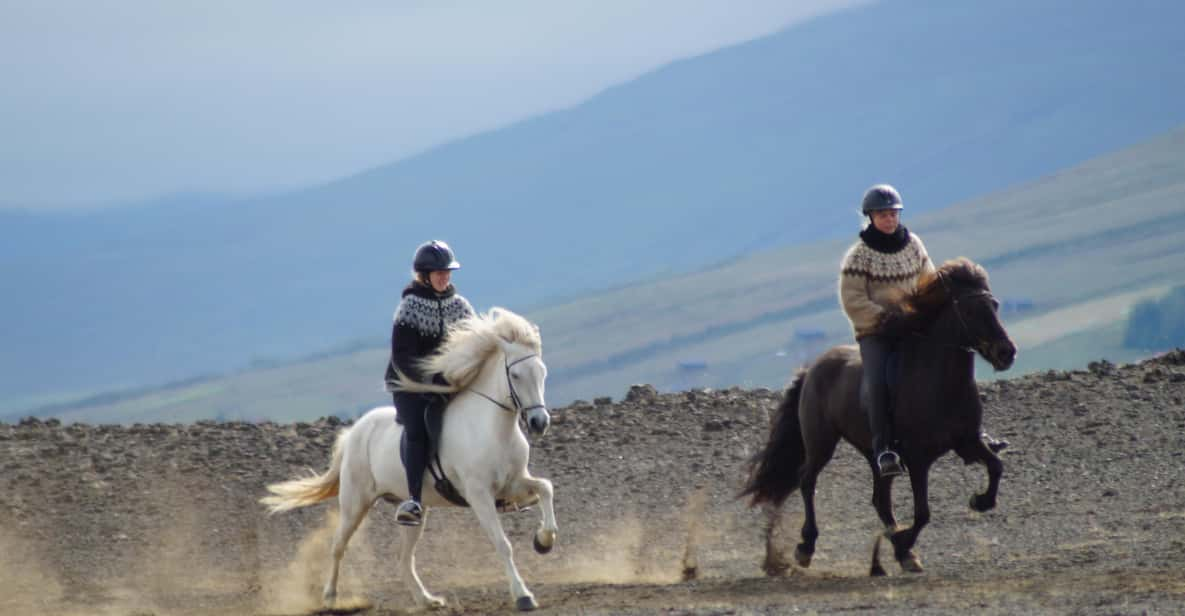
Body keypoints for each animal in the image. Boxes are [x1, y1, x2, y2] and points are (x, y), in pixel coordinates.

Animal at [261, 308, 556, 611]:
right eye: (516, 375)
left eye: (542, 371)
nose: (539, 422)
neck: (492, 427)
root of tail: (355, 431)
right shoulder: (479, 495)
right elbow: (502, 543)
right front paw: (523, 596)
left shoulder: (513, 484)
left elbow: (546, 488)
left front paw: (544, 540)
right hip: (355, 503)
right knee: (338, 546)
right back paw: (330, 598)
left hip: (415, 512)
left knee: (403, 559)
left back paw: (427, 600)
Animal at [744, 257, 1014, 575]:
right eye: (971, 311)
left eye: (995, 305)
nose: (1006, 353)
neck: (940, 383)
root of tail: (812, 368)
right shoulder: (918, 458)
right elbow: (923, 512)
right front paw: (903, 542)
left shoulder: (968, 441)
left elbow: (996, 466)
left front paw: (979, 501)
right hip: (821, 442)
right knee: (806, 480)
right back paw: (804, 548)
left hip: (876, 454)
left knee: (880, 499)